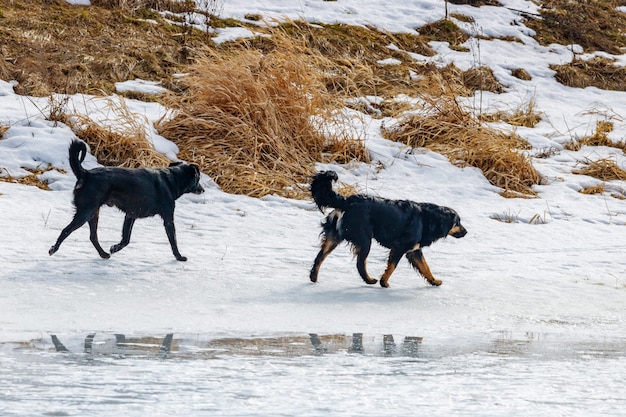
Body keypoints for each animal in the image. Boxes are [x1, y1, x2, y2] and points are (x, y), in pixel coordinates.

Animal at [50, 141, 205, 262]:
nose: (203, 190)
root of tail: (85, 173)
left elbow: (126, 239)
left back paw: (104, 254)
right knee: (66, 230)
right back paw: (53, 249)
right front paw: (179, 257)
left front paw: (114, 248)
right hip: (86, 212)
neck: (172, 179)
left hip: (94, 212)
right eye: (198, 179)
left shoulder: (130, 215)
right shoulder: (168, 219)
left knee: (93, 236)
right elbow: (173, 240)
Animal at [310, 171, 466, 286]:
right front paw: (384, 282)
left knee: (320, 257)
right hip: (364, 239)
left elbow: (425, 267)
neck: (429, 219)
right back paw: (369, 280)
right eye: (457, 222)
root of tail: (347, 201)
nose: (466, 232)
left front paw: (434, 281)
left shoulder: (414, 251)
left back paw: (313, 277)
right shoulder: (400, 247)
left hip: (334, 237)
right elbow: (392, 266)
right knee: (360, 263)